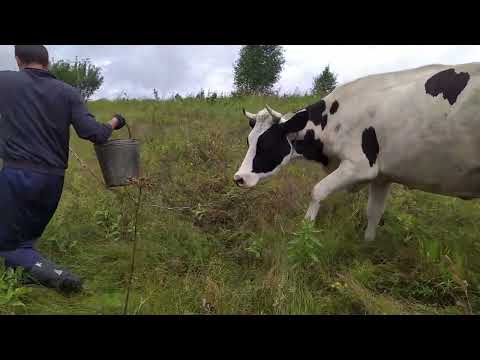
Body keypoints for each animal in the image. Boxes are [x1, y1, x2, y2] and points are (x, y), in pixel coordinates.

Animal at [234, 63, 480, 242]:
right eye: (249, 140)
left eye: (267, 143)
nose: (239, 178)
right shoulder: (381, 176)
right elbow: (374, 212)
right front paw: (368, 245)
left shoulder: (360, 165)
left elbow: (317, 191)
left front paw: (305, 231)